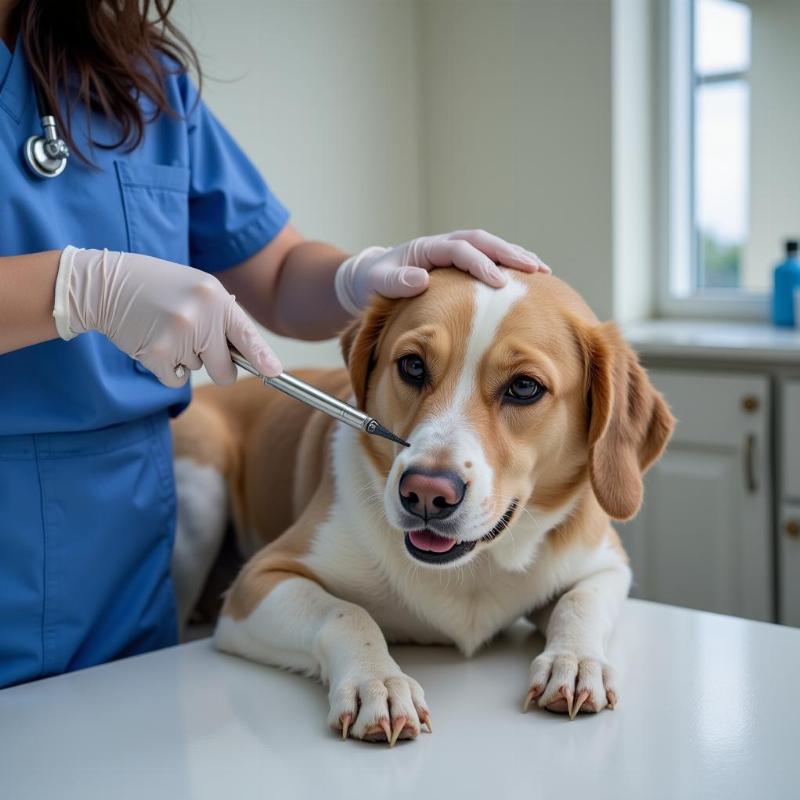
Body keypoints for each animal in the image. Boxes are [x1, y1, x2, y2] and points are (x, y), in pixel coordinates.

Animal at [170, 268, 676, 744]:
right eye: (413, 365)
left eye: (524, 388)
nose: (427, 492)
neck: (470, 569)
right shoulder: (256, 584)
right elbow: (347, 613)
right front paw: (378, 682)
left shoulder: (609, 565)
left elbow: (579, 600)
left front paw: (574, 661)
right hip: (201, 494)